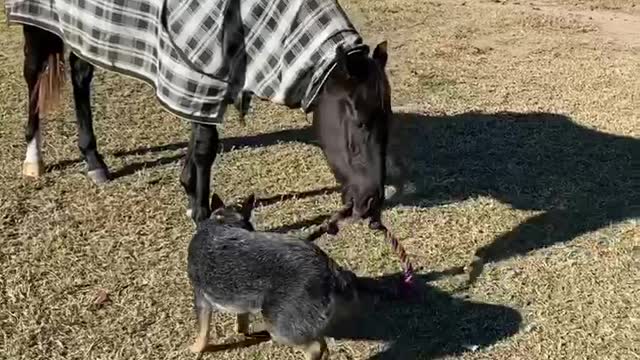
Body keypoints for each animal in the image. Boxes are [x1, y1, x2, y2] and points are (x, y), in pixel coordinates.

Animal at [7, 0, 392, 225]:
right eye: (359, 122)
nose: (371, 204)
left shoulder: (208, 78)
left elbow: (202, 137)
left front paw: (190, 194)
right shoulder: (199, 73)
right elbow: (207, 145)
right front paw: (201, 212)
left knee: (80, 75)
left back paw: (94, 161)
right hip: (38, 24)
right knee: (33, 76)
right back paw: (33, 160)